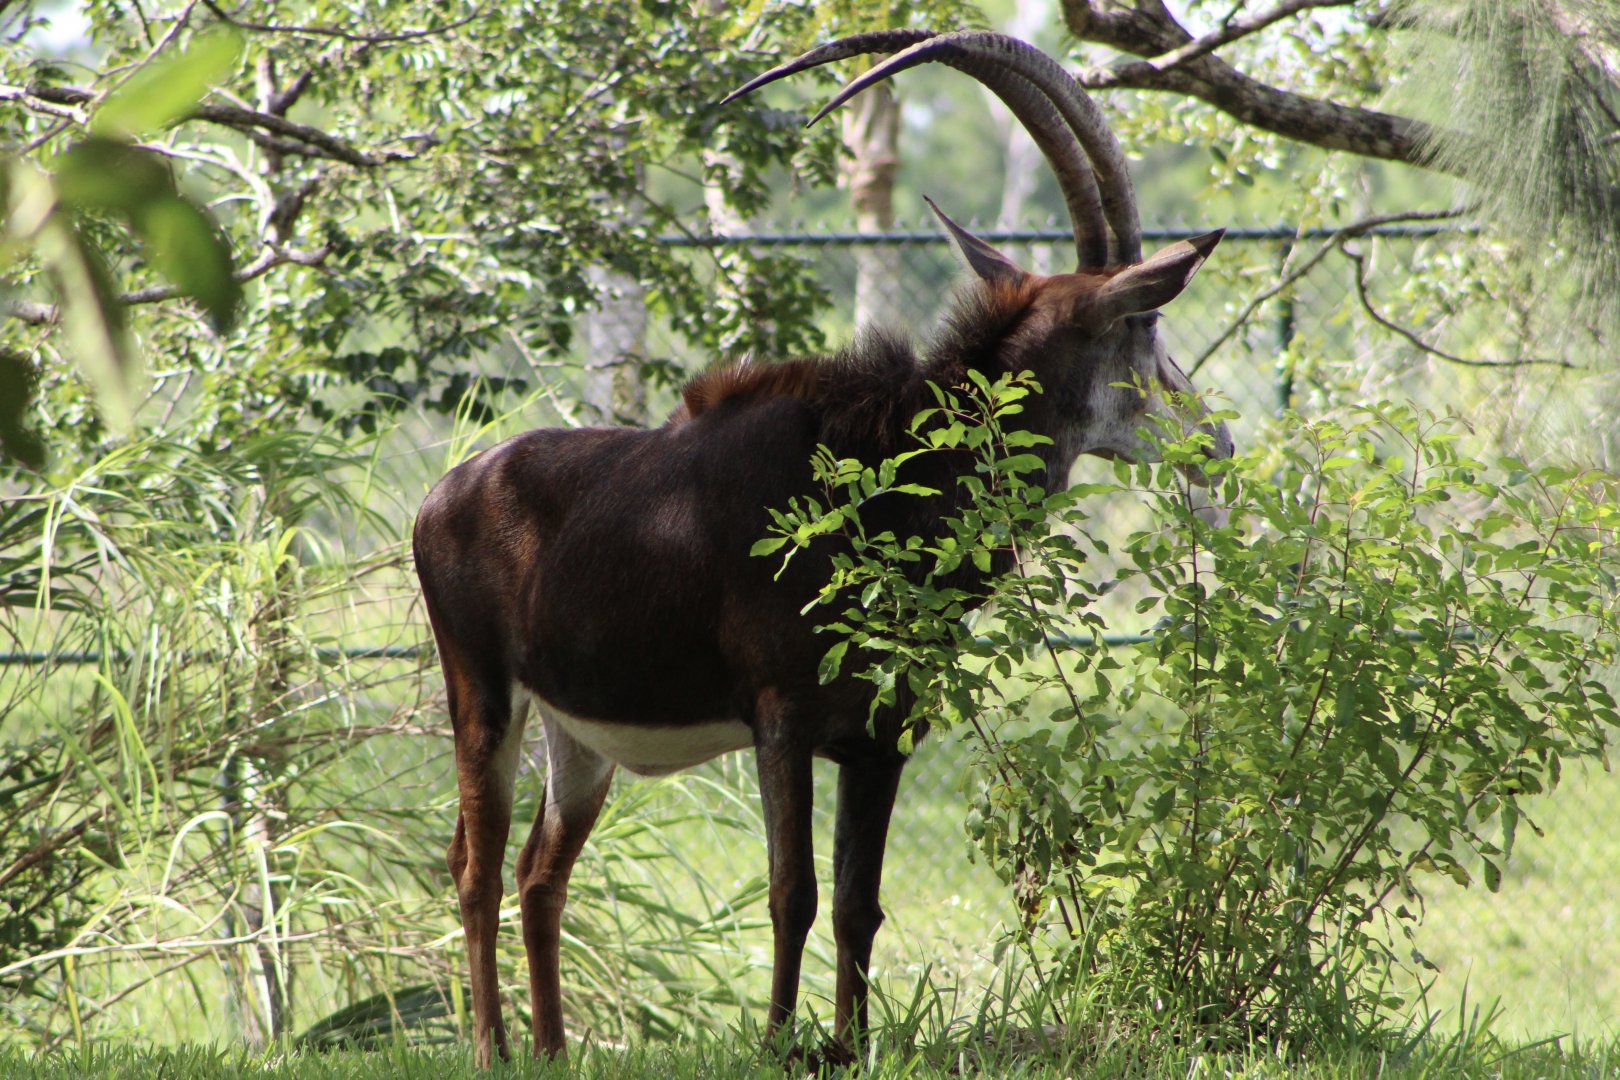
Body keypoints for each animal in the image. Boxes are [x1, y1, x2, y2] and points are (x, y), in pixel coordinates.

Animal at [413, 29, 1234, 1067]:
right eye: (1143, 323)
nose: (1217, 442)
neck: (885, 485)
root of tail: (444, 494)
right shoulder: (783, 720)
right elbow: (791, 894)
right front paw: (776, 1045)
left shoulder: (882, 740)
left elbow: (857, 906)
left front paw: (848, 1048)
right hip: (483, 699)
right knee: (477, 868)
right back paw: (492, 1047)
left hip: (578, 737)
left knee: (537, 874)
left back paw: (555, 1051)